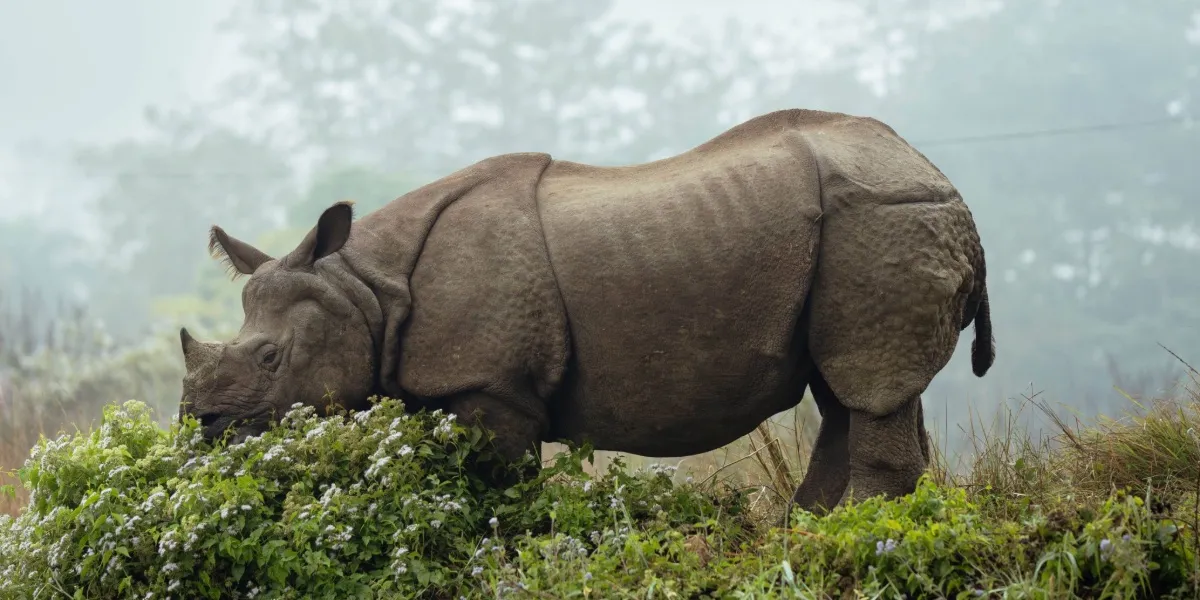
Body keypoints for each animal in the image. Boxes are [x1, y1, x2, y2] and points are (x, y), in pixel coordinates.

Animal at [178, 108, 994, 512]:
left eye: (270, 358)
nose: (201, 426)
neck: (363, 288)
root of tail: (944, 181)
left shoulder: (492, 385)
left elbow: (499, 493)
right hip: (868, 231)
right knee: (845, 391)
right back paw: (810, 531)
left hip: (884, 220)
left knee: (866, 385)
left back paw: (854, 534)